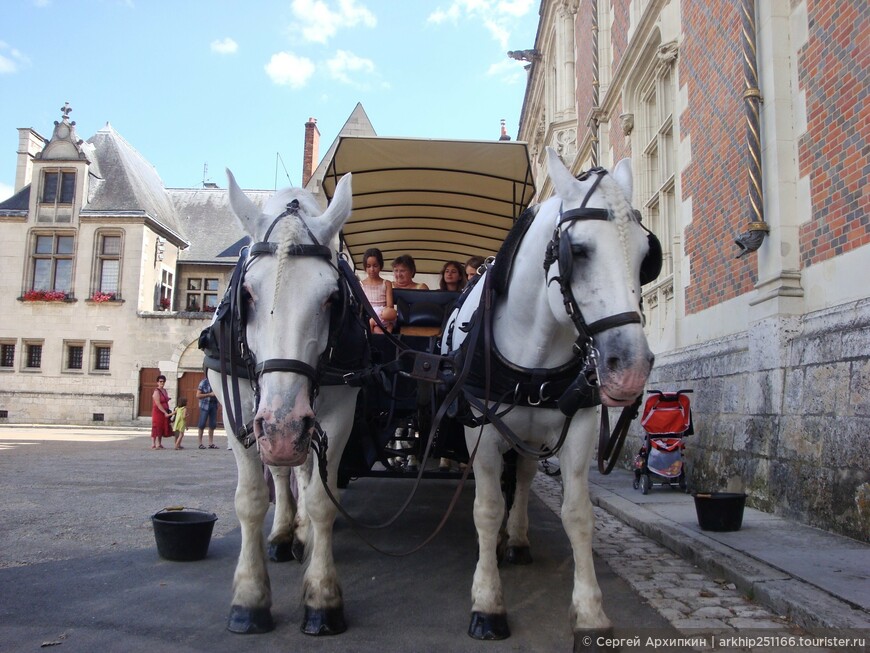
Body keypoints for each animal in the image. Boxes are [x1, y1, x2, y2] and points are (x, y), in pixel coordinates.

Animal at [206, 168, 360, 632]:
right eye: (247, 295)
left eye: (332, 298)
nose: (282, 431)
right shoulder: (237, 409)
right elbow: (252, 499)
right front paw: (250, 597)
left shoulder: (339, 411)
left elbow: (323, 500)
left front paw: (323, 598)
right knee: (281, 473)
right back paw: (282, 535)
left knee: (307, 471)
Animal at [442, 150, 656, 648]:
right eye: (578, 251)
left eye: (646, 256)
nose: (631, 367)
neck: (535, 351)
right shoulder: (480, 433)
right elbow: (485, 509)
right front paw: (487, 604)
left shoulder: (578, 429)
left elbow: (577, 514)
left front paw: (591, 613)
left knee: (520, 478)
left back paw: (517, 540)